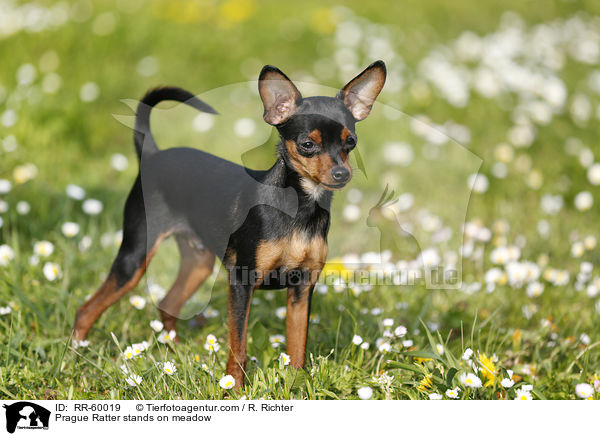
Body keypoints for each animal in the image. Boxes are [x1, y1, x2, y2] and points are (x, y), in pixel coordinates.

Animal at [75, 59, 386, 386]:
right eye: (306, 144)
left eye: (350, 142)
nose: (342, 174)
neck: (299, 207)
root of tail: (152, 155)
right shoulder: (241, 282)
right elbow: (239, 346)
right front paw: (235, 388)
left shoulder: (302, 290)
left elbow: (297, 347)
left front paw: (295, 383)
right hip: (135, 258)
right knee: (85, 311)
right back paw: (75, 356)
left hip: (198, 263)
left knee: (168, 305)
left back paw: (175, 357)